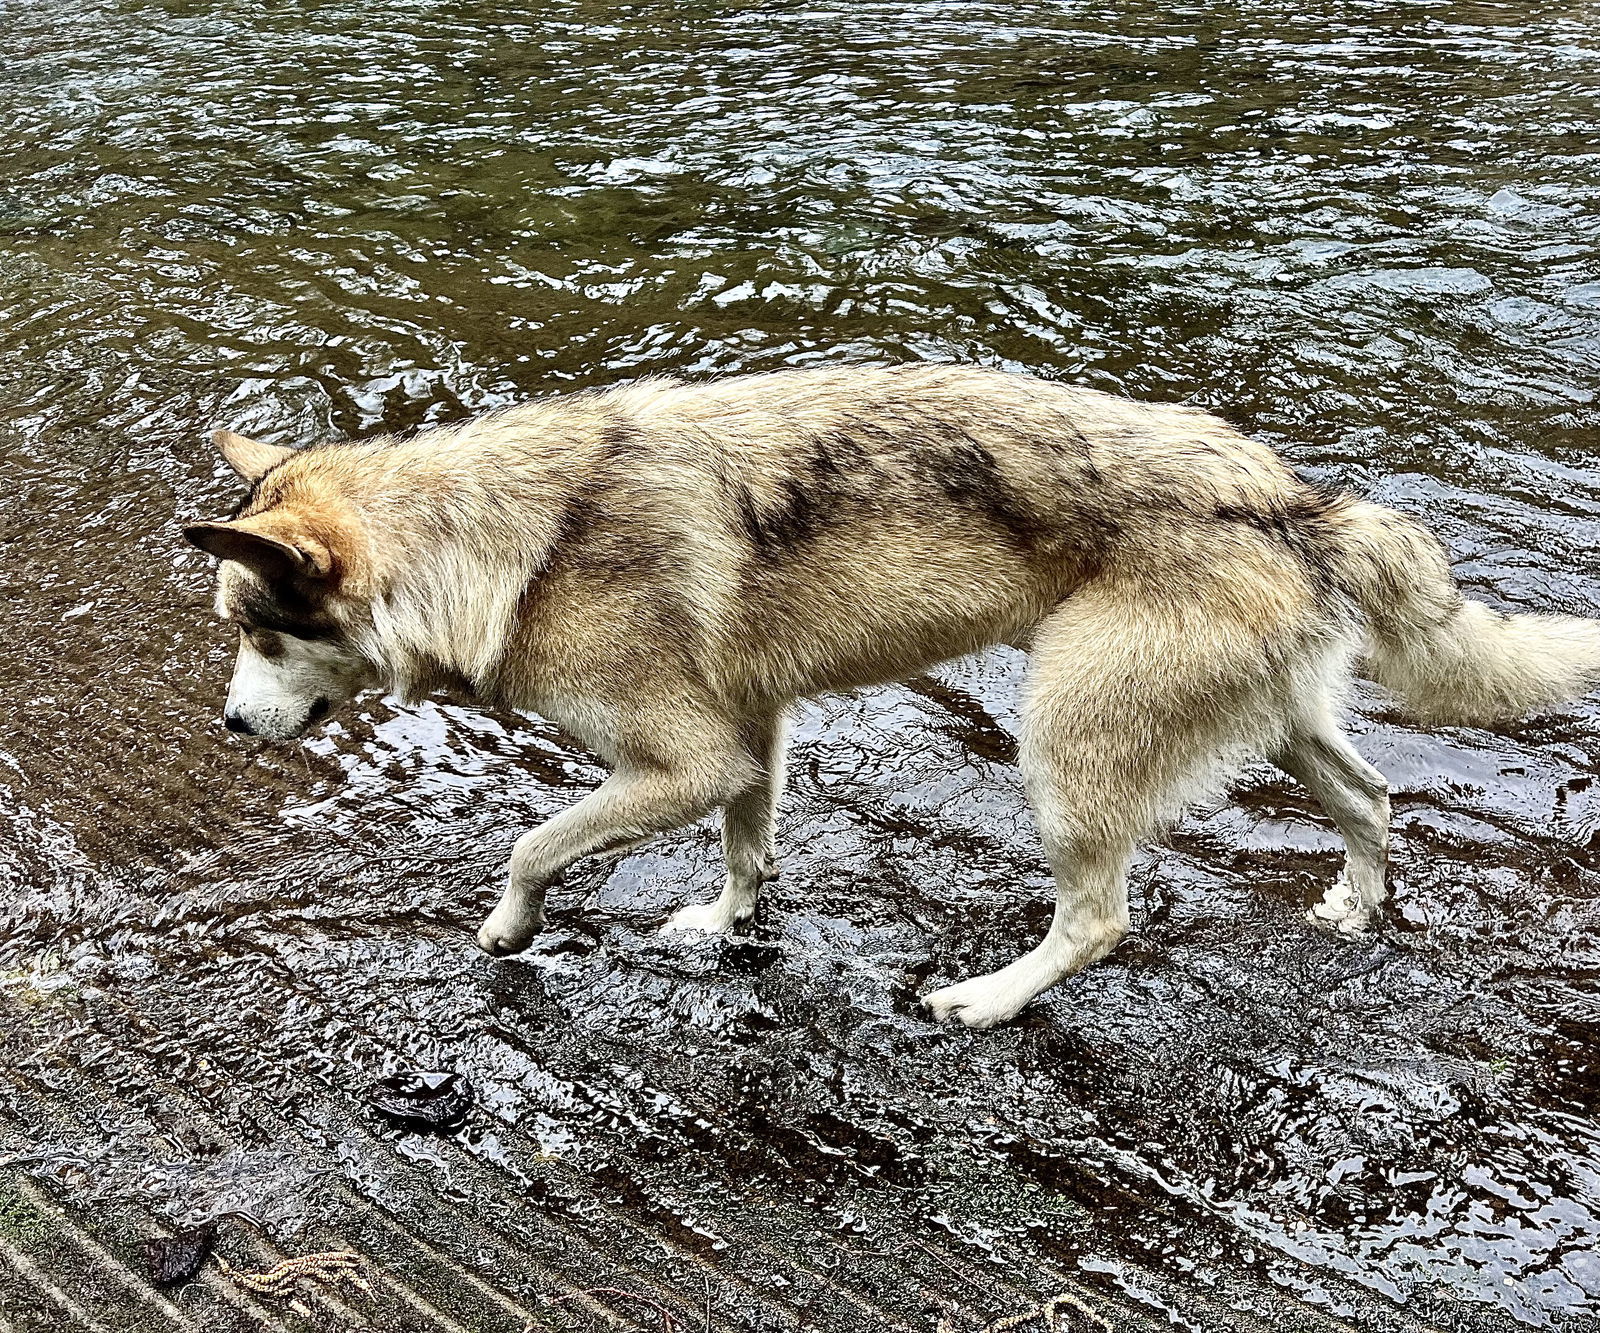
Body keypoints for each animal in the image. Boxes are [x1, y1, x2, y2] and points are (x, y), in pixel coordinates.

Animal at [178, 364, 1600, 1030]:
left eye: (251, 630)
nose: (232, 728)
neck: (496, 543)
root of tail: (1301, 497)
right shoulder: (747, 743)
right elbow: (747, 849)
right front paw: (722, 924)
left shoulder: (678, 763)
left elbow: (533, 843)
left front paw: (507, 931)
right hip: (1285, 728)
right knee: (1373, 800)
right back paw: (1354, 906)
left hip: (1063, 746)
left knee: (1099, 920)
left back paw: (987, 998)